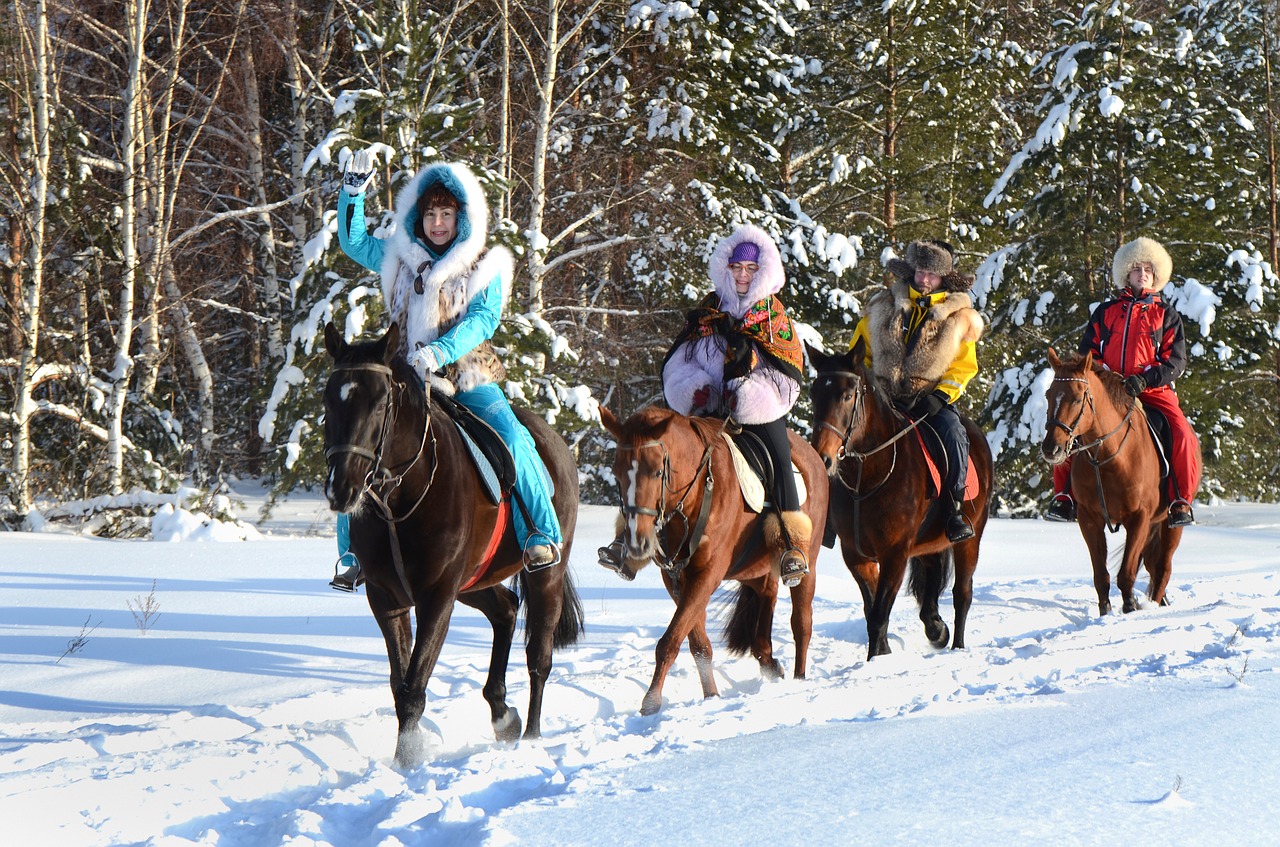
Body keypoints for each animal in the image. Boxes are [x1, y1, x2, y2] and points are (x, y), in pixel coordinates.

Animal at [322, 319, 583, 767]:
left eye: (379, 403)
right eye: (327, 400)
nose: (342, 489)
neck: (401, 499)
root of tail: (558, 444)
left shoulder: (437, 596)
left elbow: (413, 688)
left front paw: (407, 762)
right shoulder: (387, 598)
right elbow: (400, 683)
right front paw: (404, 760)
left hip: (544, 573)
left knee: (539, 658)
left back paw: (531, 737)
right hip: (474, 581)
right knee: (506, 609)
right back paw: (502, 714)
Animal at [593, 404, 824, 716]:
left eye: (657, 471)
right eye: (617, 473)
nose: (637, 542)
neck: (695, 497)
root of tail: (815, 457)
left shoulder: (707, 574)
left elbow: (670, 640)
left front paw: (651, 701)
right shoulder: (676, 579)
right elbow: (698, 643)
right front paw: (711, 695)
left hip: (807, 563)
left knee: (802, 623)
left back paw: (799, 680)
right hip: (756, 571)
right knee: (766, 602)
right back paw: (769, 663)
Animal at [803, 342, 993, 665]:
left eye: (847, 395)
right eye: (815, 394)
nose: (823, 457)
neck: (868, 476)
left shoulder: (895, 554)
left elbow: (879, 615)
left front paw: (876, 661)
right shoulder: (856, 555)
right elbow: (871, 611)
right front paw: (883, 654)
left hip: (971, 539)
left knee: (962, 594)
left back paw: (956, 645)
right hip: (929, 542)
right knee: (932, 579)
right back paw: (936, 628)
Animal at [1039, 348, 1187, 614]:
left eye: (1077, 398)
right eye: (1048, 395)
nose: (1051, 448)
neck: (1109, 458)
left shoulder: (1139, 518)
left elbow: (1126, 574)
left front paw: (1129, 607)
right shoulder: (1089, 518)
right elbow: (1101, 576)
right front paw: (1105, 612)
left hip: (1170, 526)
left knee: (1162, 568)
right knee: (1152, 565)